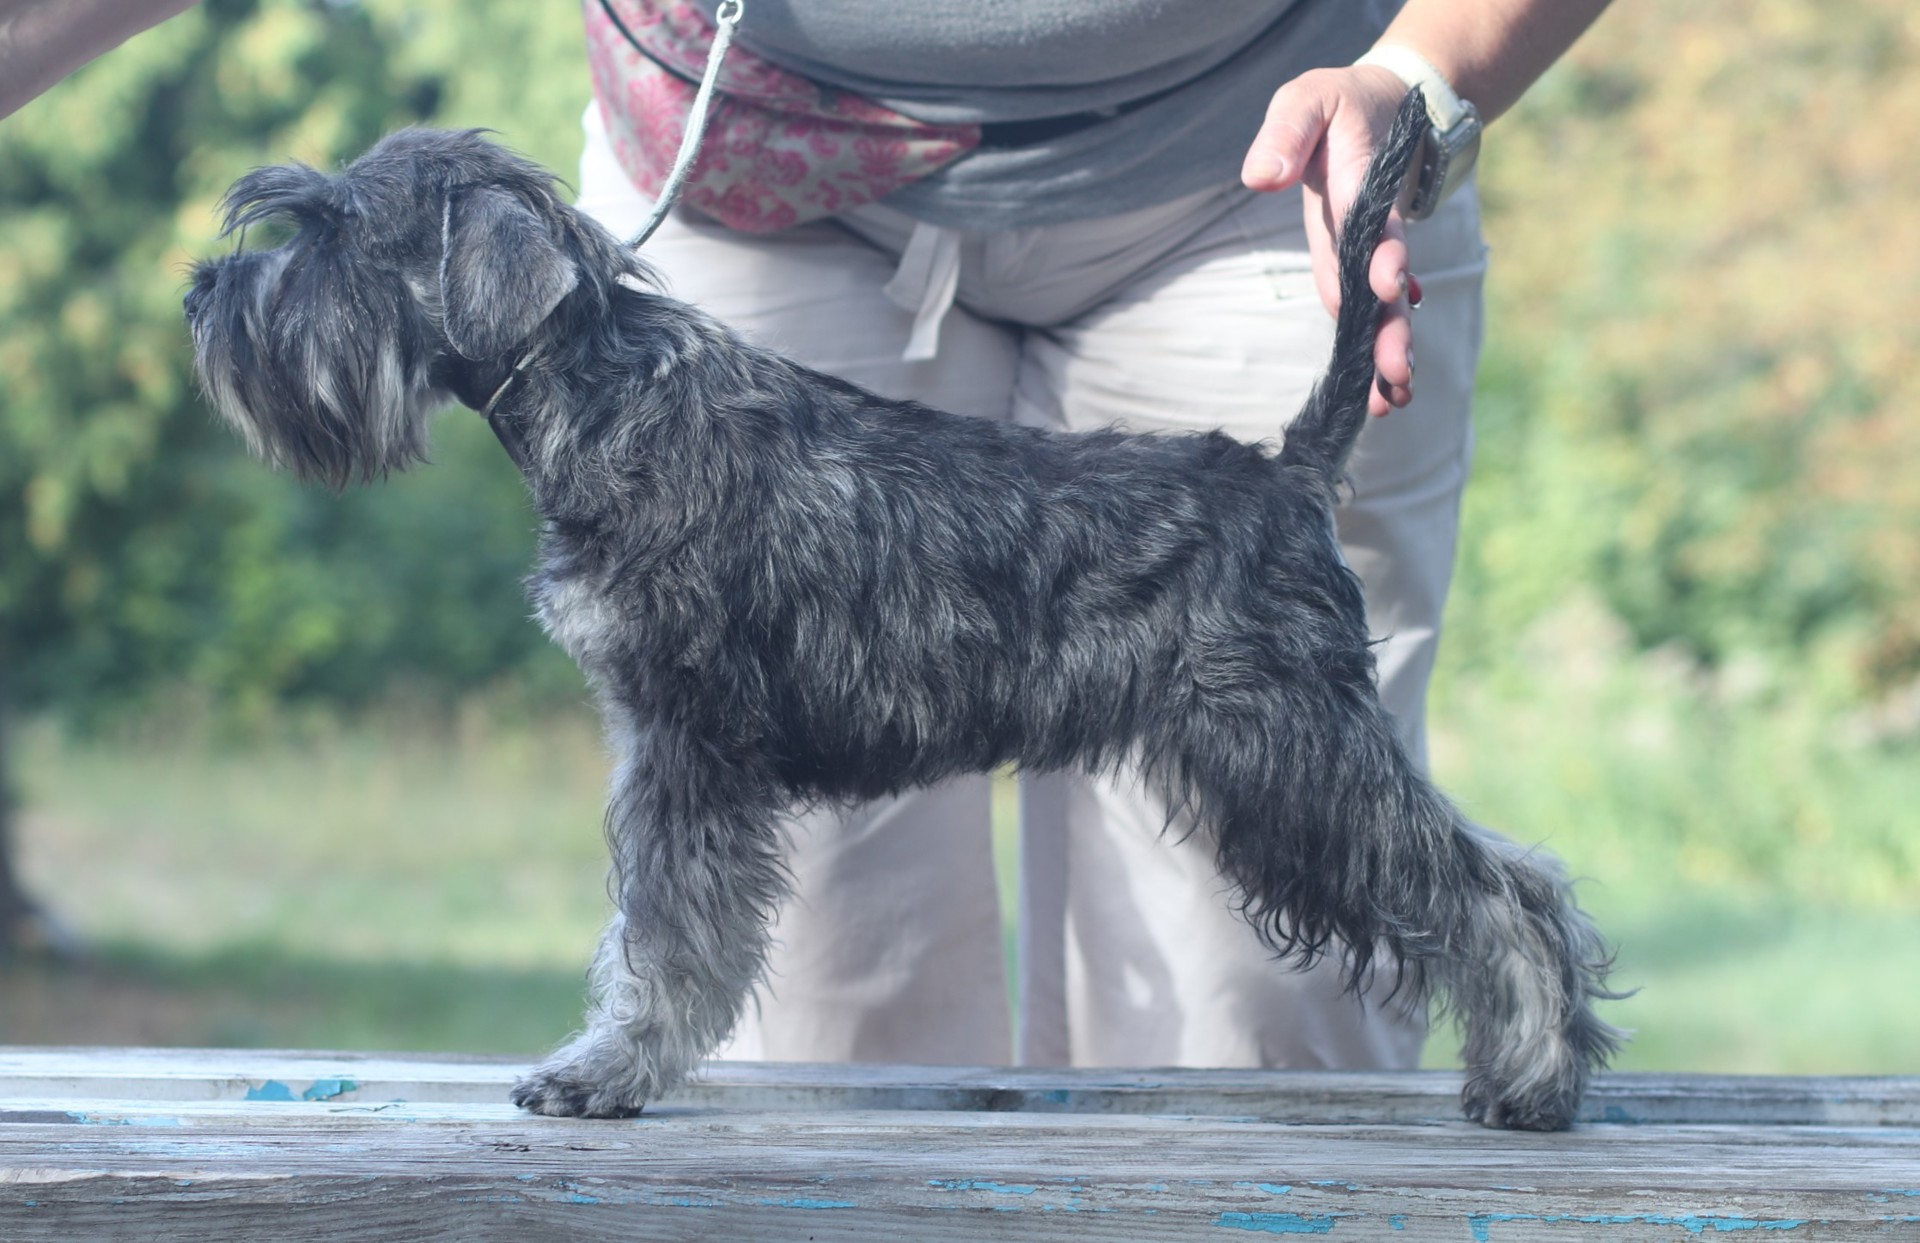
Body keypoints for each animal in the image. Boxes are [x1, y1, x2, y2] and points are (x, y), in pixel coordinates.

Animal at [183, 92, 1620, 1129]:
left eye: (334, 234)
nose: (203, 295)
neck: (610, 399)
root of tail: (1287, 472)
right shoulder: (662, 744)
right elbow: (650, 923)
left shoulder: (690, 743)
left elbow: (663, 930)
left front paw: (606, 1069)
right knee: (1517, 874)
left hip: (1290, 756)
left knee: (1498, 889)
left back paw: (1536, 1079)